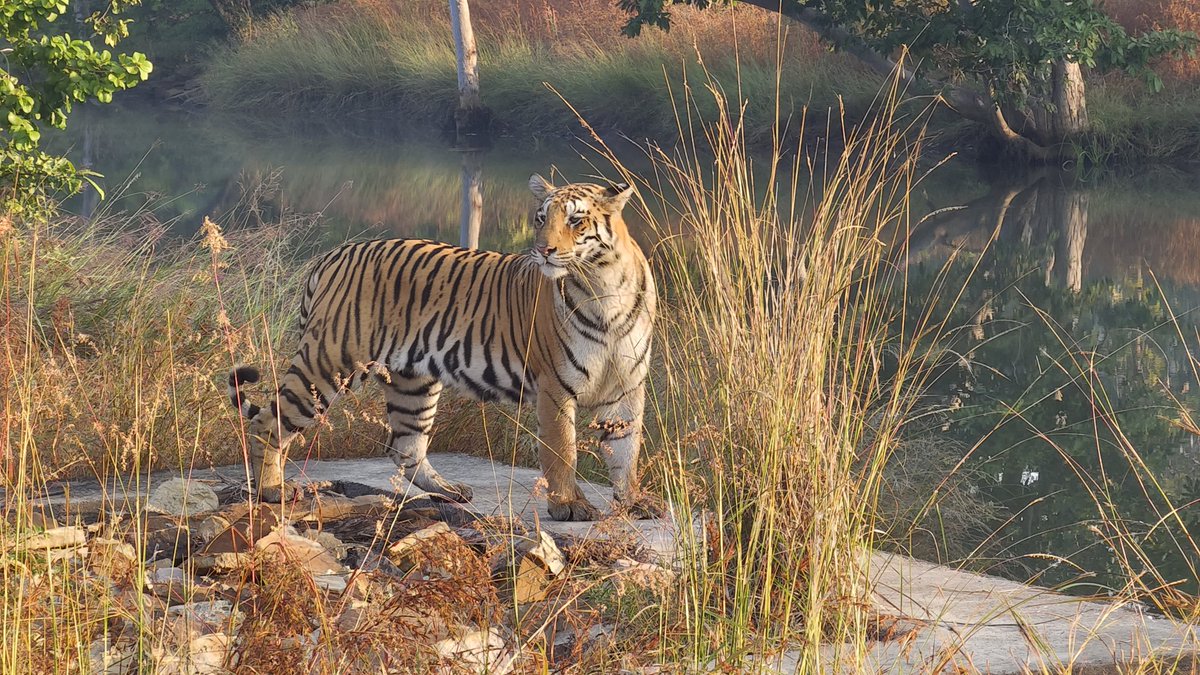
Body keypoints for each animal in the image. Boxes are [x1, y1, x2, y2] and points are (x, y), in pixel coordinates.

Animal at [226, 174, 657, 521]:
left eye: (575, 220)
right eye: (540, 219)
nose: (543, 250)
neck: (604, 286)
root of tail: (332, 255)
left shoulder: (627, 387)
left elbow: (626, 450)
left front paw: (633, 501)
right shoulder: (555, 387)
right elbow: (562, 451)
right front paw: (569, 505)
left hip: (413, 382)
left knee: (404, 446)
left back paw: (447, 490)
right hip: (327, 364)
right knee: (268, 425)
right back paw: (272, 490)